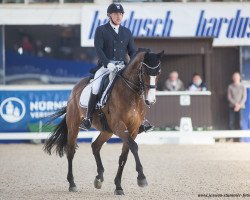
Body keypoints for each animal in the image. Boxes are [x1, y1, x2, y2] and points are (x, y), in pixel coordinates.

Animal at [43, 50, 164, 195]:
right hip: (73, 126)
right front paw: (141, 178)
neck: (130, 95)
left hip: (107, 131)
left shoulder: (133, 130)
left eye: (158, 72)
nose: (150, 101)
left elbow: (124, 156)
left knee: (95, 146)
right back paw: (72, 183)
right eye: (145, 71)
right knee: (71, 151)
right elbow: (134, 147)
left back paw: (99, 178)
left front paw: (118, 186)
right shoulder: (119, 127)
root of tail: (76, 87)